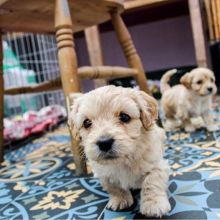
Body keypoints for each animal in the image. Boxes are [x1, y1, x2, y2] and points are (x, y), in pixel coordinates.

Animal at [68, 85, 170, 217]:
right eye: (87, 123)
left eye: (124, 117)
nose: (104, 143)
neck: (124, 160)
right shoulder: (103, 173)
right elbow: (113, 187)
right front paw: (120, 199)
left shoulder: (157, 165)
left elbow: (152, 182)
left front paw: (153, 204)